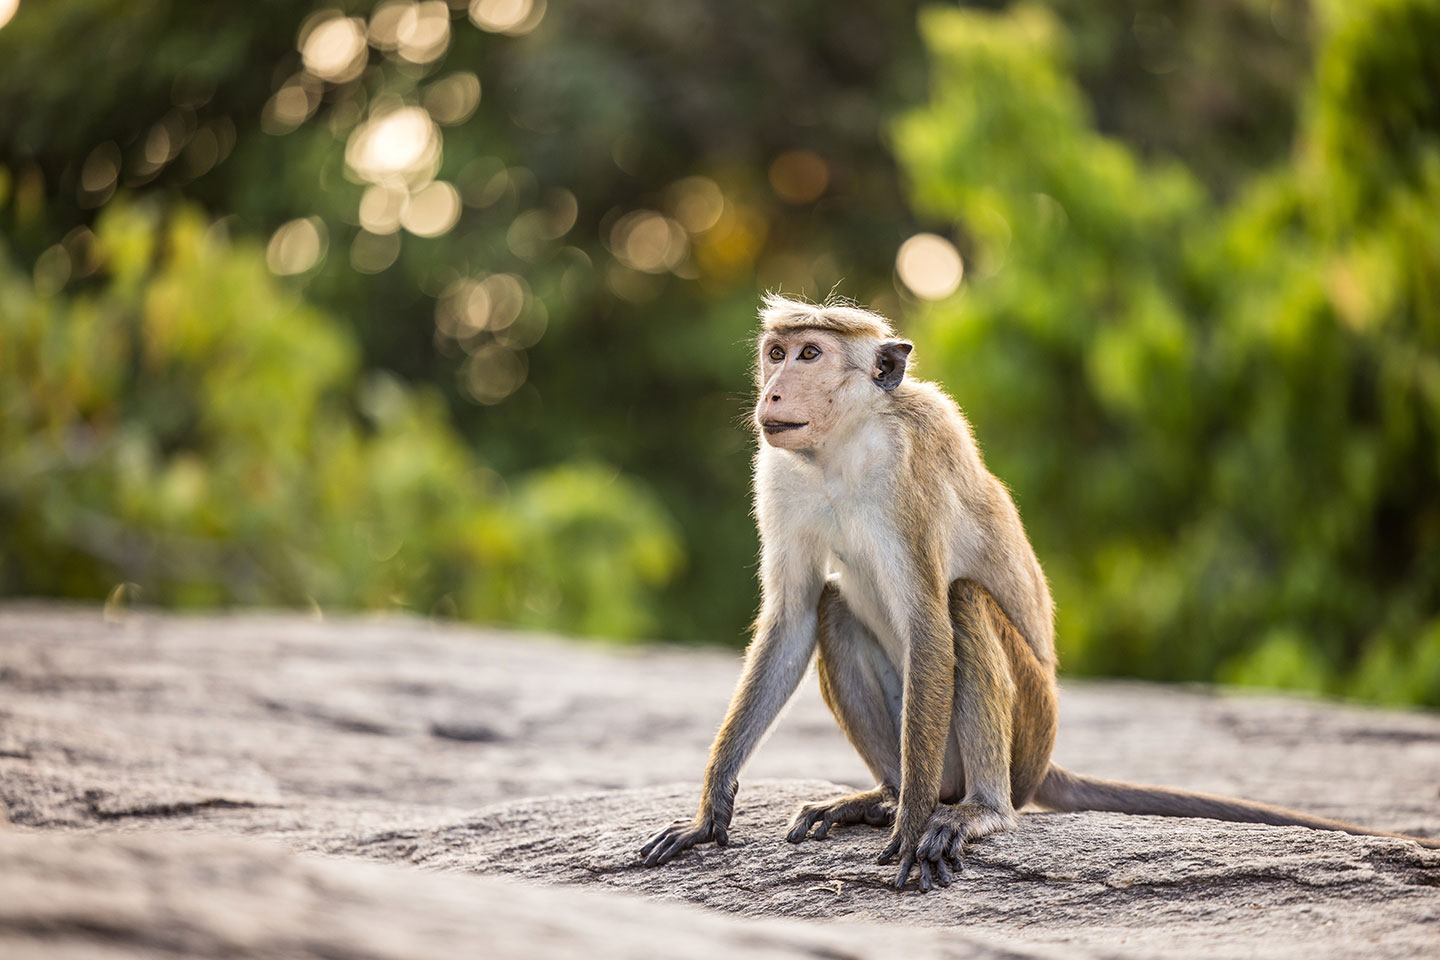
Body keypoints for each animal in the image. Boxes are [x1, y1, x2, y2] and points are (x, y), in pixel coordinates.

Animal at [640, 294, 1439, 892]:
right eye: (777, 353)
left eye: (811, 354)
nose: (773, 390)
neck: (843, 445)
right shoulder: (779, 472)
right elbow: (793, 616)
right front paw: (710, 814)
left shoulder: (911, 468)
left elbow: (930, 622)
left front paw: (909, 829)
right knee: (836, 607)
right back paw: (887, 797)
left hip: (1028, 731)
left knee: (963, 604)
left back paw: (971, 812)